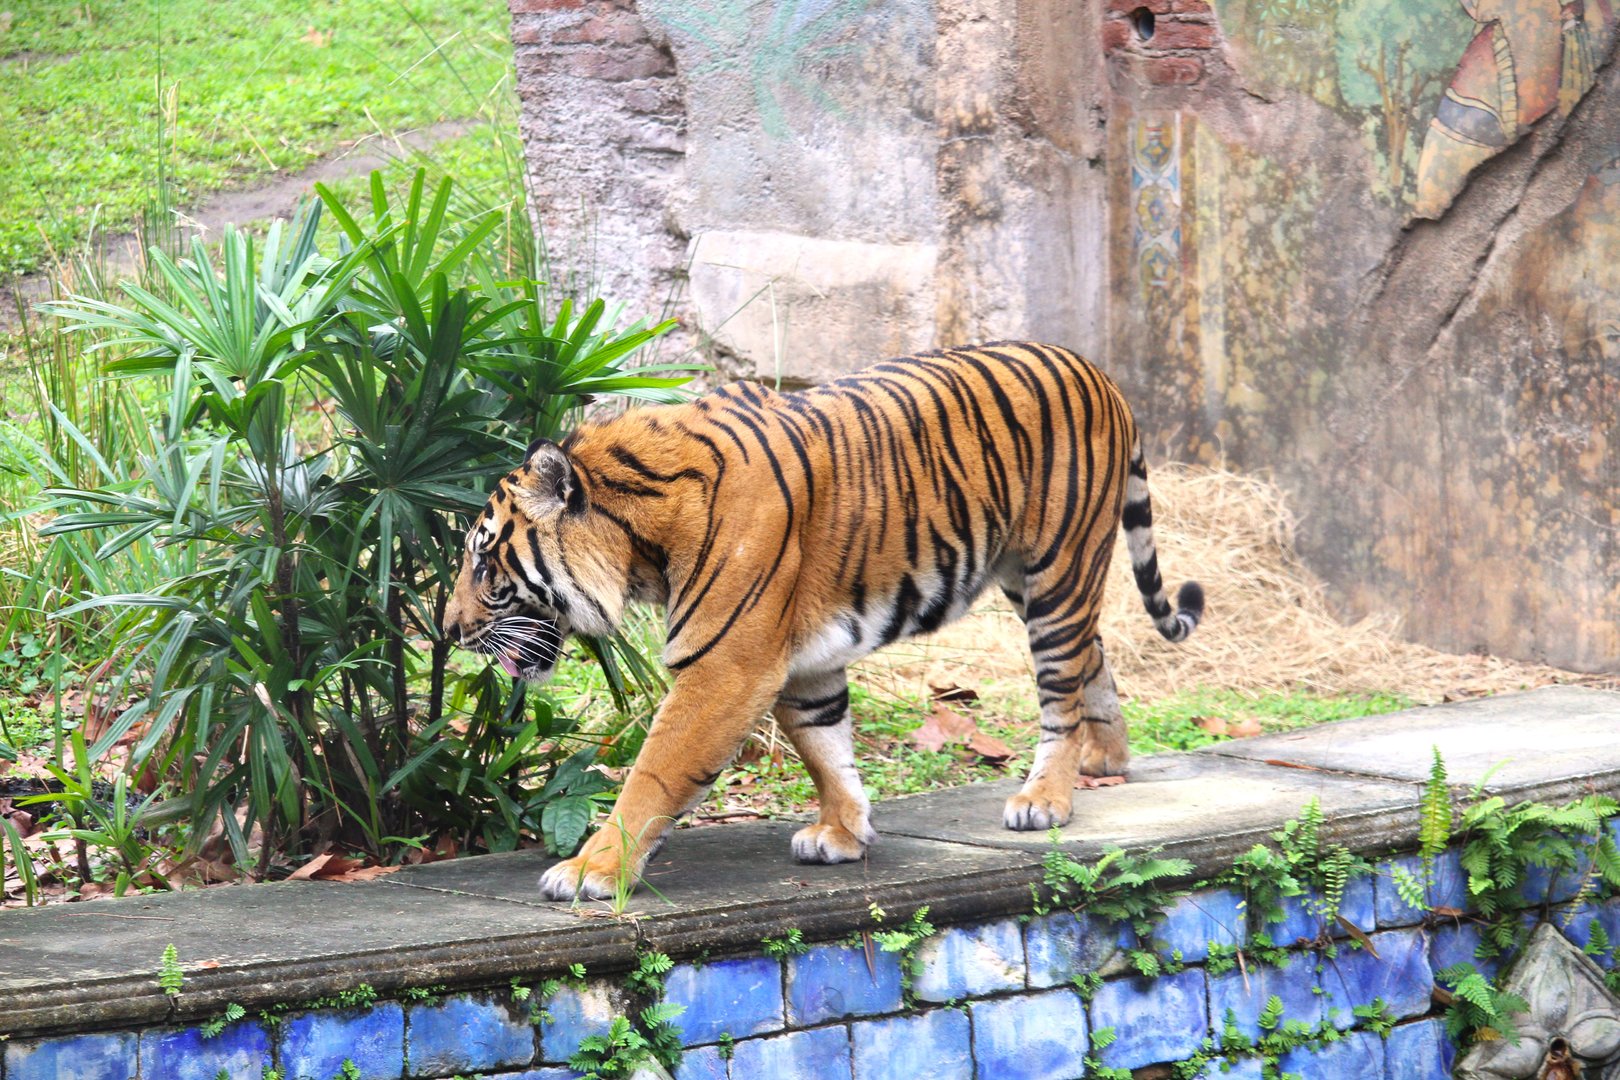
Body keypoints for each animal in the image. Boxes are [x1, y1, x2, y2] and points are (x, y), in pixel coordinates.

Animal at [442, 341, 1203, 901]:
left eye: (483, 564)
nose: (447, 630)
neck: (641, 541)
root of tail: (1098, 371)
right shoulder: (798, 660)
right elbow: (824, 746)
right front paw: (844, 833)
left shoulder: (725, 666)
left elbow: (653, 774)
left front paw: (590, 871)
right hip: (1029, 577)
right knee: (1091, 657)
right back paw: (1106, 760)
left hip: (1056, 572)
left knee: (1061, 688)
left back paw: (1046, 797)